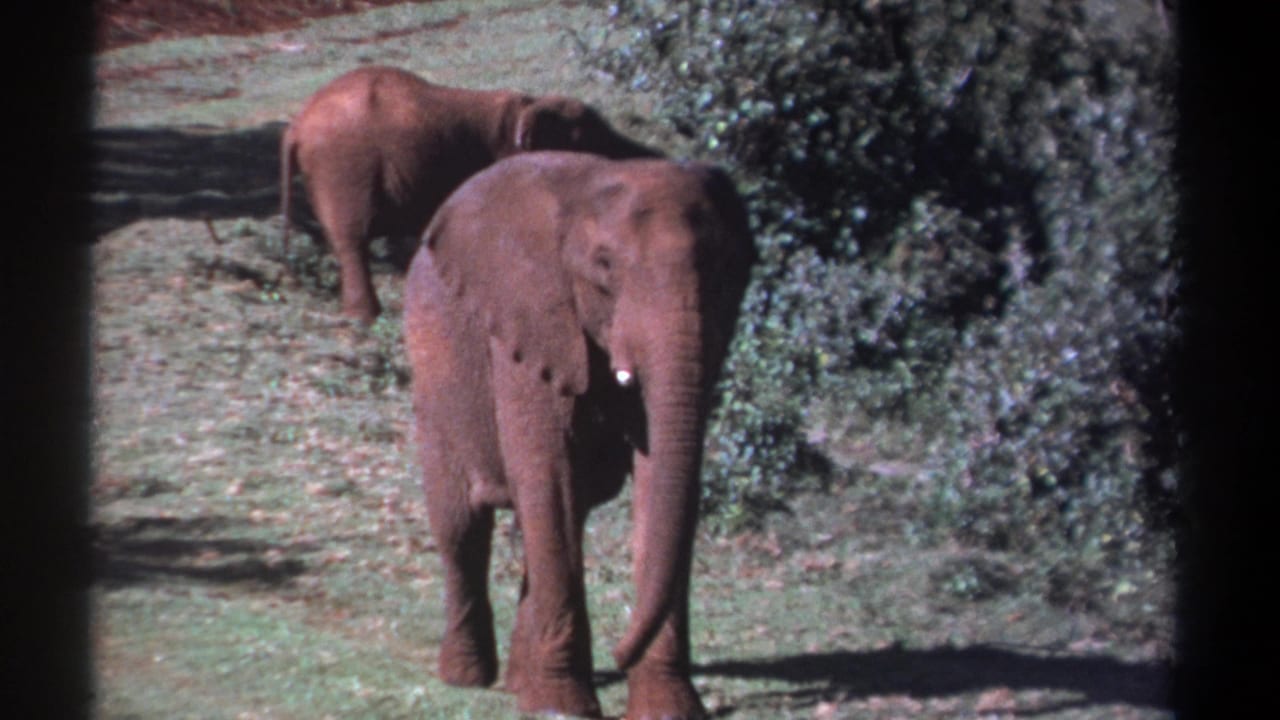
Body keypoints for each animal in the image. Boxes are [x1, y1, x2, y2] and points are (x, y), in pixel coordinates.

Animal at [280, 65, 660, 323]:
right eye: (590, 139)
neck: (527, 106)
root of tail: (296, 127)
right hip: (343, 167)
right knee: (352, 241)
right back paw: (365, 318)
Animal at [404, 152, 756, 719]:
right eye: (605, 267)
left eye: (723, 270)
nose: (620, 649)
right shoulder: (531, 321)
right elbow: (549, 476)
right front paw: (562, 706)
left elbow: (658, 485)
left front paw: (670, 710)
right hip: (432, 372)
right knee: (463, 526)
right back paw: (467, 678)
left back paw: (518, 685)